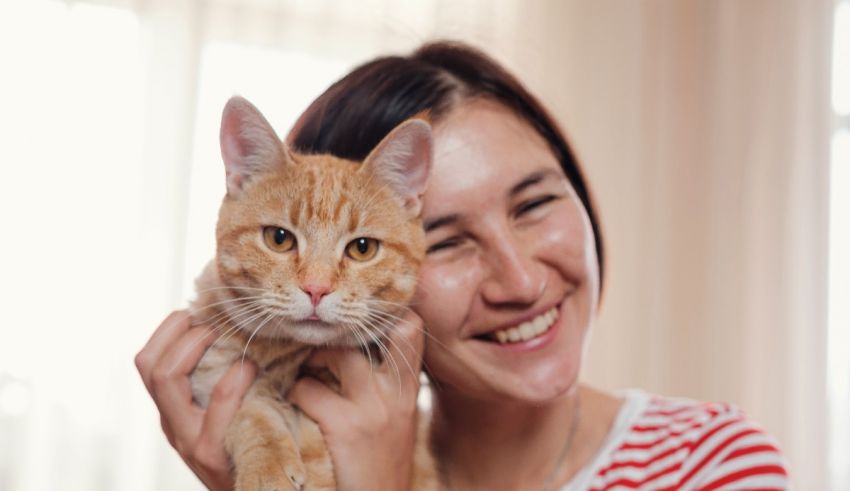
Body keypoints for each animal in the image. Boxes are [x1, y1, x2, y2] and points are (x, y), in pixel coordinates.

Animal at [188, 97, 434, 491]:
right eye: (279, 239)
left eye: (362, 248)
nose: (316, 289)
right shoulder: (212, 371)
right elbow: (252, 409)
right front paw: (267, 466)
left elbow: (317, 455)